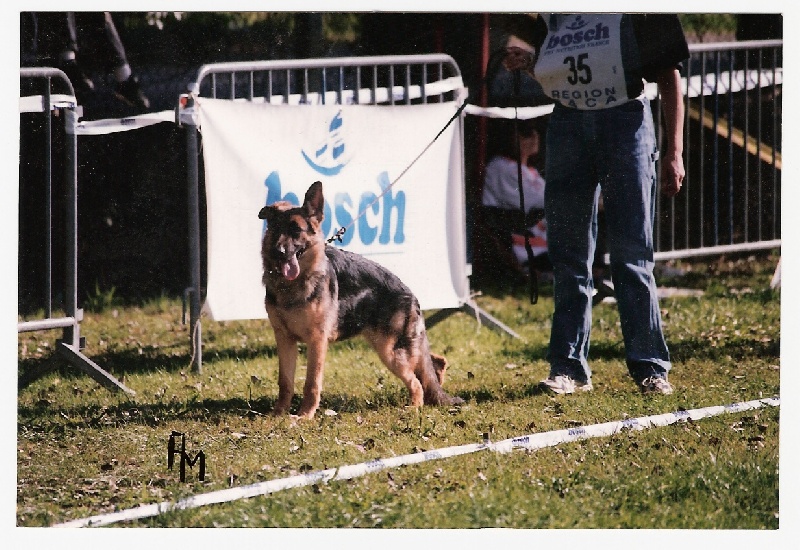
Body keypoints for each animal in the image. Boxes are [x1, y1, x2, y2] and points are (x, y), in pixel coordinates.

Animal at [258, 183, 462, 420]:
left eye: (296, 230)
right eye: (275, 229)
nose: (279, 252)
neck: (293, 284)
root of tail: (410, 294)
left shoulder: (317, 341)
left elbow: (312, 383)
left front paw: (305, 416)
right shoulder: (284, 339)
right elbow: (285, 381)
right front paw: (278, 413)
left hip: (390, 351)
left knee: (417, 382)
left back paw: (414, 407)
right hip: (392, 346)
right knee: (434, 364)